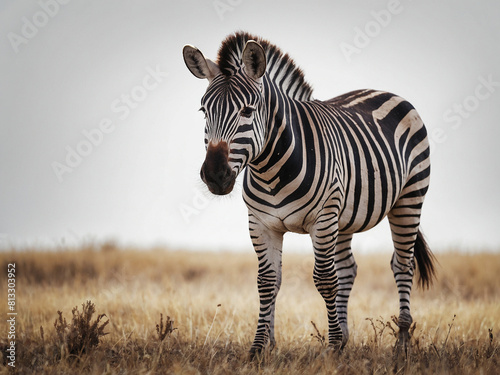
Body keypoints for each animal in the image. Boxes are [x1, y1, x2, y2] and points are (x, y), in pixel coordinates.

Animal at [183, 31, 434, 356]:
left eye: (247, 111)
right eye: (204, 111)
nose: (215, 175)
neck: (270, 170)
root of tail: (382, 91)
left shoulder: (322, 219)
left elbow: (325, 280)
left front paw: (332, 347)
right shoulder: (261, 223)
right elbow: (268, 281)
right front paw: (262, 346)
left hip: (408, 199)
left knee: (402, 264)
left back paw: (401, 344)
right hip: (344, 217)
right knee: (348, 269)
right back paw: (348, 337)